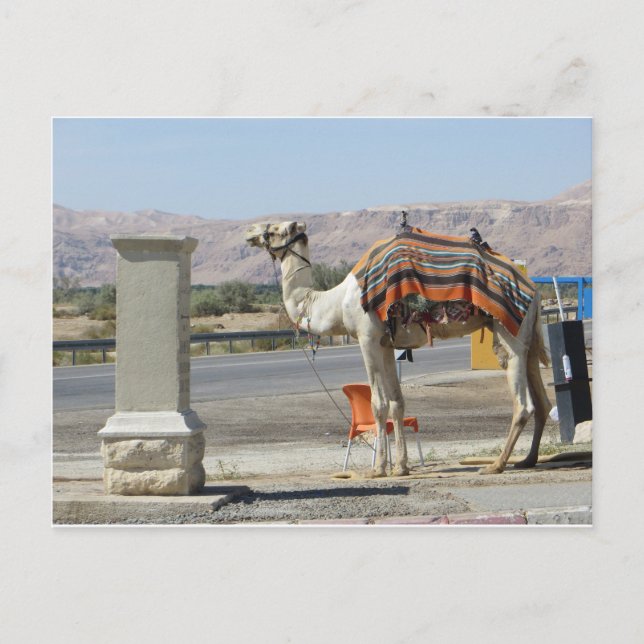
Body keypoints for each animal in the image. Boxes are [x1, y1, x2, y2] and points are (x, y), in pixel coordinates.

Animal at [245, 221, 552, 477]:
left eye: (273, 229)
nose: (249, 233)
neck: (336, 302)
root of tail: (534, 289)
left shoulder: (367, 337)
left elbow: (377, 404)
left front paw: (378, 469)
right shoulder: (386, 344)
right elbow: (397, 403)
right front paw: (401, 467)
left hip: (508, 329)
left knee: (523, 402)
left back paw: (495, 465)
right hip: (529, 334)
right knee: (543, 401)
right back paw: (527, 460)